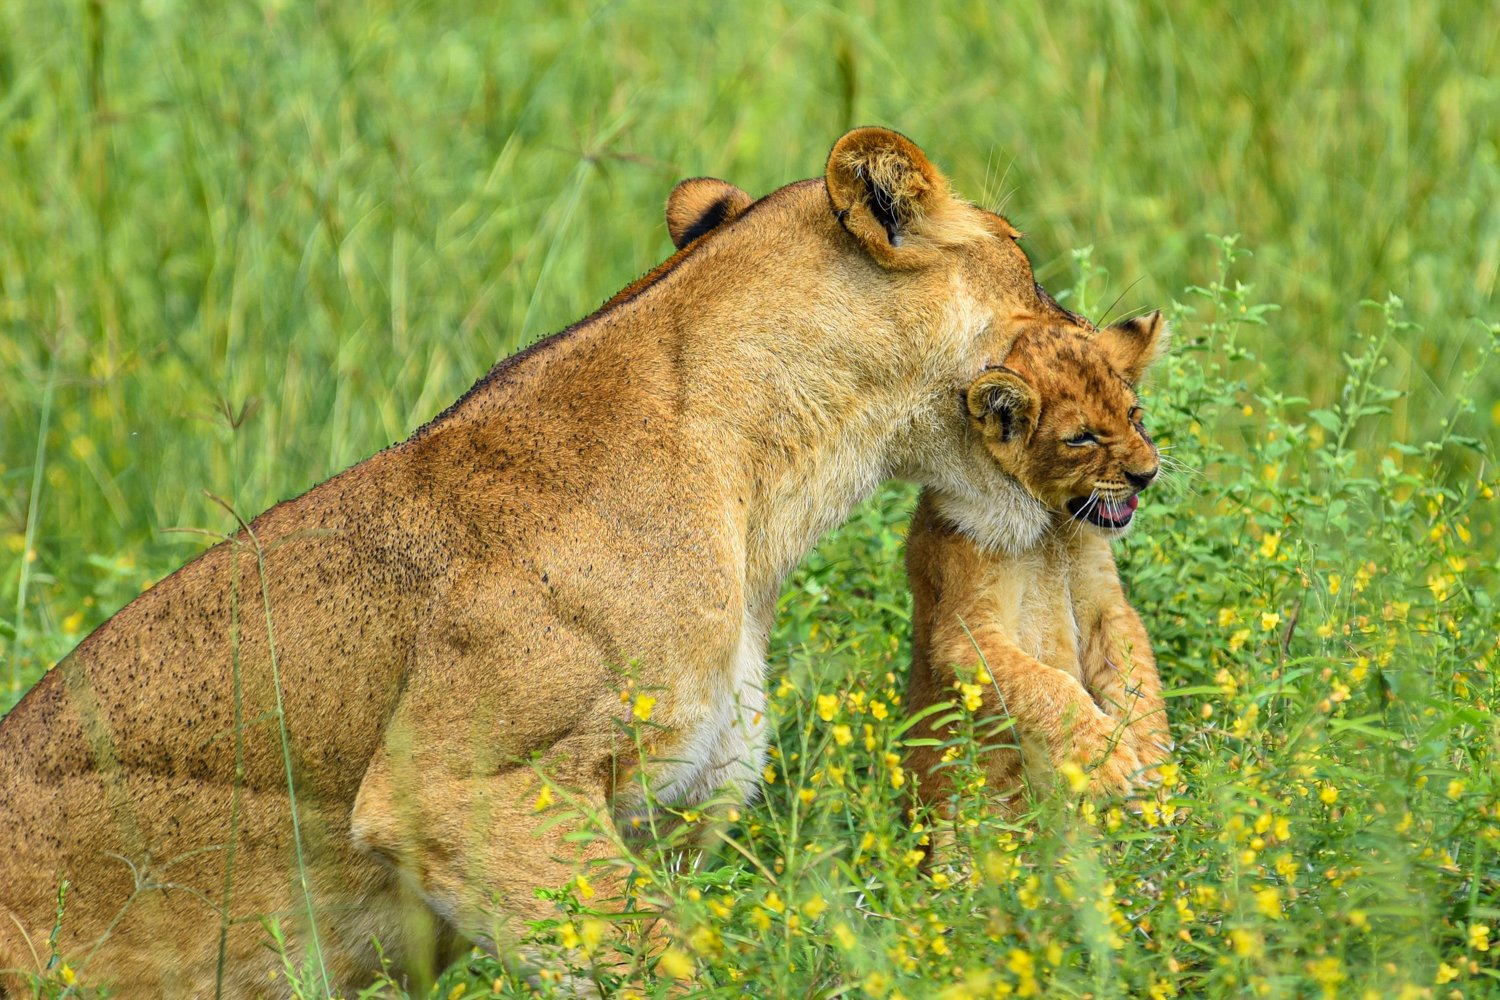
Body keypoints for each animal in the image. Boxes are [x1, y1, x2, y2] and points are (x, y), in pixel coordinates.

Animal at [0, 128, 1120, 996]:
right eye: (1025, 259)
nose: (1095, 330)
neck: (763, 484)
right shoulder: (453, 787)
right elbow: (670, 962)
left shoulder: (668, 810)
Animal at [903, 311, 1173, 826]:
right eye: (1082, 437)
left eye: (1133, 415)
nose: (1147, 475)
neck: (1052, 532)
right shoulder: (962, 631)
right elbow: (1047, 683)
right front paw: (1106, 761)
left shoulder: (1107, 606)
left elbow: (1137, 679)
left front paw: (1157, 770)